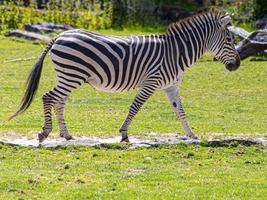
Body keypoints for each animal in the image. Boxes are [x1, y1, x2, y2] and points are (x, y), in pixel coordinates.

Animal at [9, 8, 241, 142]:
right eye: (230, 40)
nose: (237, 65)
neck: (176, 53)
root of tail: (60, 35)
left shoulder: (171, 86)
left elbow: (180, 111)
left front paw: (191, 134)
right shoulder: (151, 82)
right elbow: (135, 107)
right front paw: (124, 134)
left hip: (68, 76)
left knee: (59, 101)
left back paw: (66, 134)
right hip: (72, 76)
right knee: (48, 97)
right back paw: (45, 132)